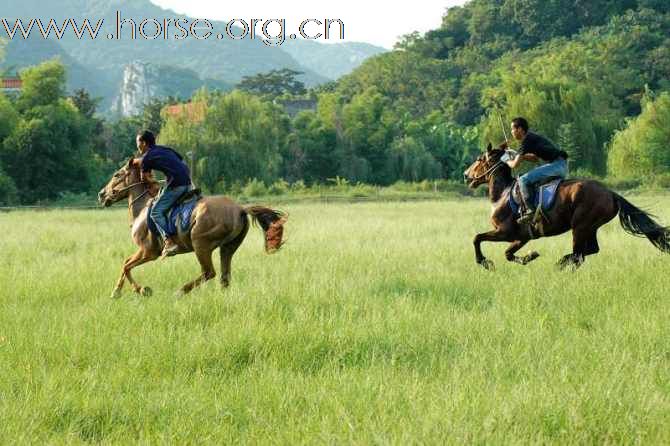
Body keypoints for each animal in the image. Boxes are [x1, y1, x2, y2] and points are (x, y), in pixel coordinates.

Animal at [98, 159, 288, 298]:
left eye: (117, 174)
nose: (101, 195)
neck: (143, 208)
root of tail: (240, 209)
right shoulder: (145, 252)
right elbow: (126, 264)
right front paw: (119, 291)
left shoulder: (148, 252)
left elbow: (126, 266)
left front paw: (140, 290)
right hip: (228, 248)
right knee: (224, 277)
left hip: (200, 245)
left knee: (209, 273)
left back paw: (180, 291)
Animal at [468, 145, 670, 270]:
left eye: (479, 159)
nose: (466, 175)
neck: (502, 194)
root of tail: (611, 193)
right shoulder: (523, 237)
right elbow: (508, 254)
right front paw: (530, 256)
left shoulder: (506, 232)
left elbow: (477, 238)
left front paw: (484, 262)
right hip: (590, 227)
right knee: (589, 251)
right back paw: (562, 263)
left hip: (580, 226)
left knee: (579, 253)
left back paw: (560, 264)